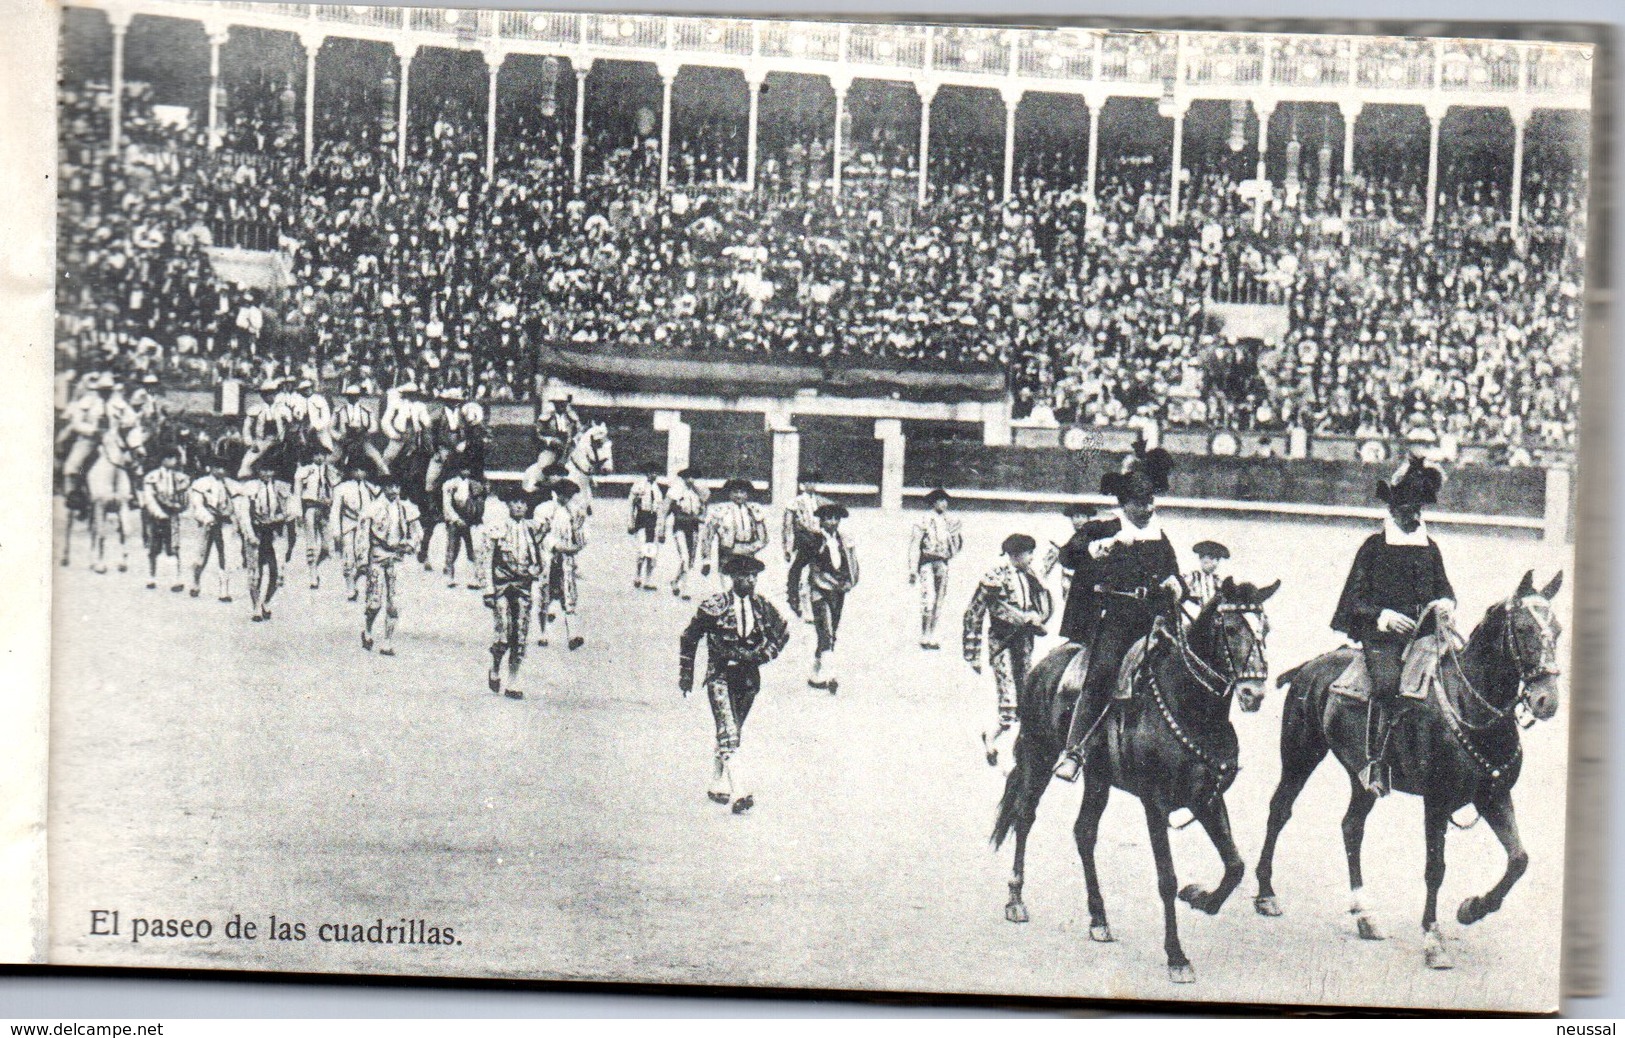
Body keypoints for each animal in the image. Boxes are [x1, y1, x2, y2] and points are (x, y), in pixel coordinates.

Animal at [988, 581, 1280, 987]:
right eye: (1232, 628)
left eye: (1265, 628)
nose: (1254, 693)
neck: (1191, 707)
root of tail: (1043, 666)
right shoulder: (1155, 804)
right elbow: (1166, 879)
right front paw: (1176, 956)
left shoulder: (1205, 799)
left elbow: (1235, 865)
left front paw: (1200, 897)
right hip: (1038, 754)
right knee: (1024, 815)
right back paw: (1016, 899)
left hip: (1097, 778)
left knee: (1084, 833)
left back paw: (1098, 918)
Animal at [1248, 571, 1566, 968]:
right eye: (1523, 628)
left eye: (1558, 630)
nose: (1546, 700)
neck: (1469, 704)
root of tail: (1310, 666)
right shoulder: (1437, 803)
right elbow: (1435, 869)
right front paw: (1433, 939)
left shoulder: (1494, 796)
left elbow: (1519, 860)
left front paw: (1472, 908)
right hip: (1299, 755)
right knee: (1280, 810)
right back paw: (1266, 893)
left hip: (1362, 778)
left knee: (1351, 827)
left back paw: (1365, 914)